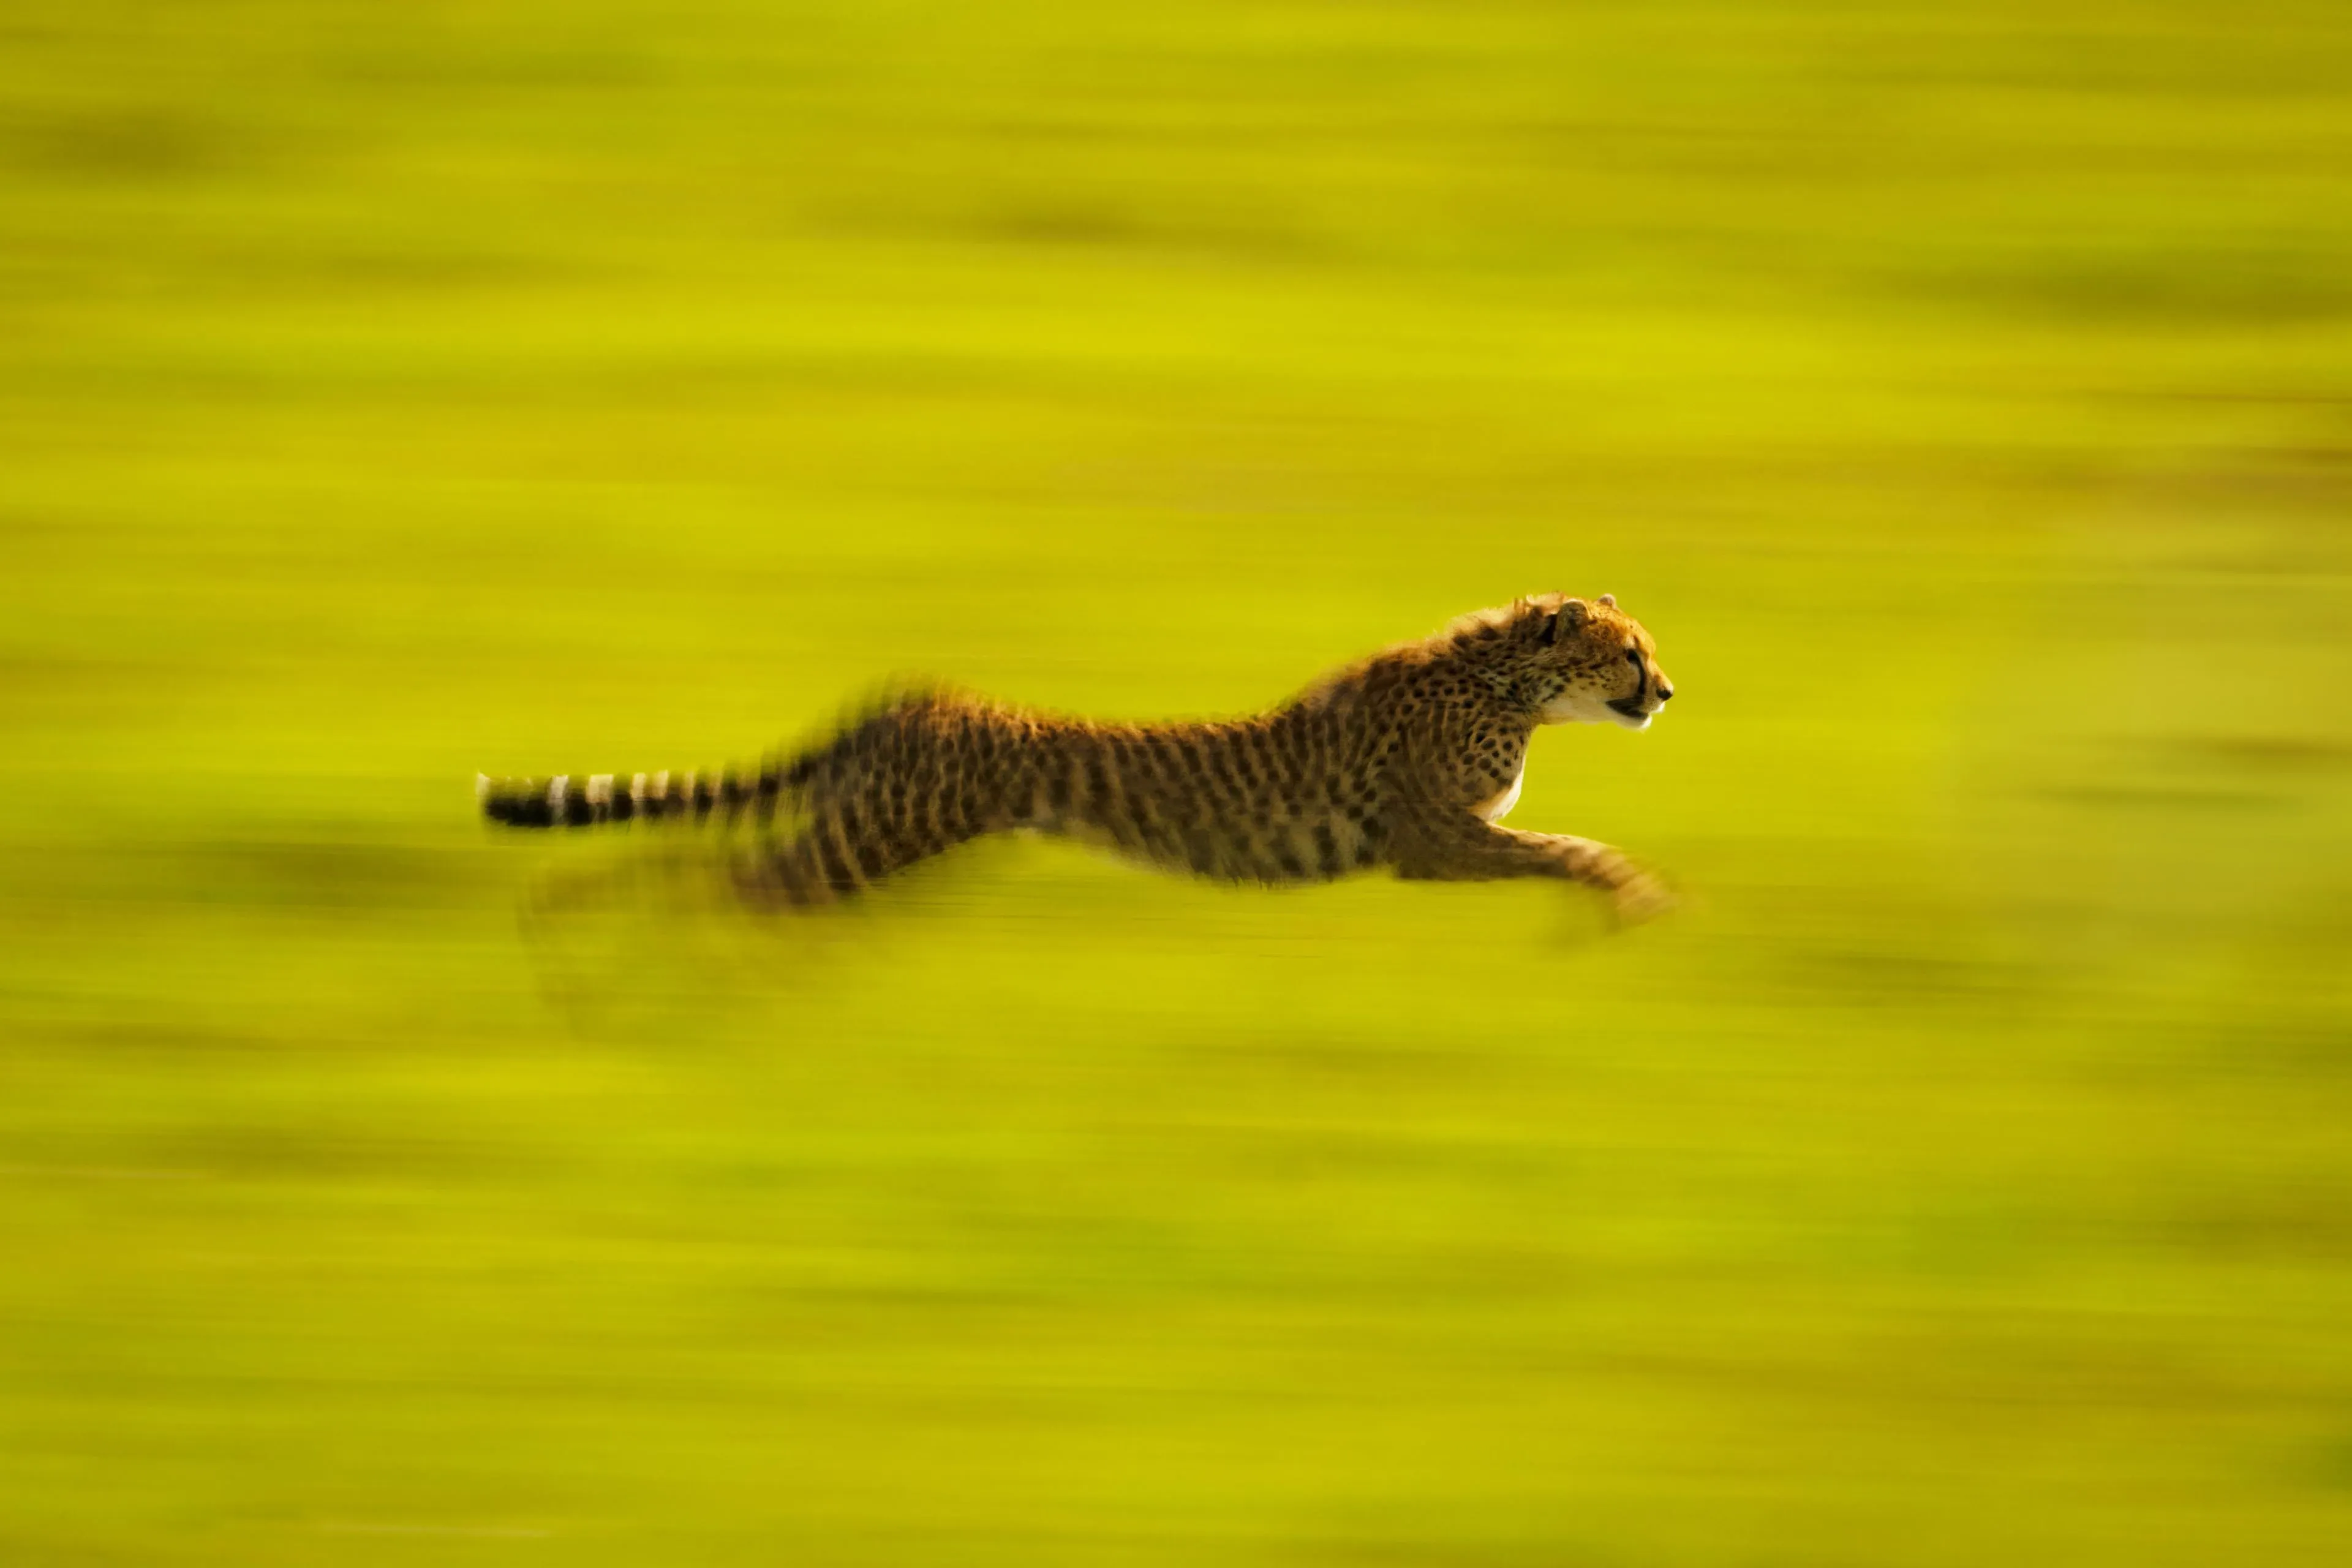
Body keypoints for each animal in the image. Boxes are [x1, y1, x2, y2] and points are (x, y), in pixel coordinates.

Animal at [479, 593, 1678, 920]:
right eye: (1630, 652)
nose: (1667, 692)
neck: (1503, 680)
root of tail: (916, 694)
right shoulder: (1431, 843)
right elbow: (1568, 849)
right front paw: (1629, 892)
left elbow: (1558, 844)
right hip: (872, 844)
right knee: (722, 886)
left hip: (863, 839)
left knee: (713, 873)